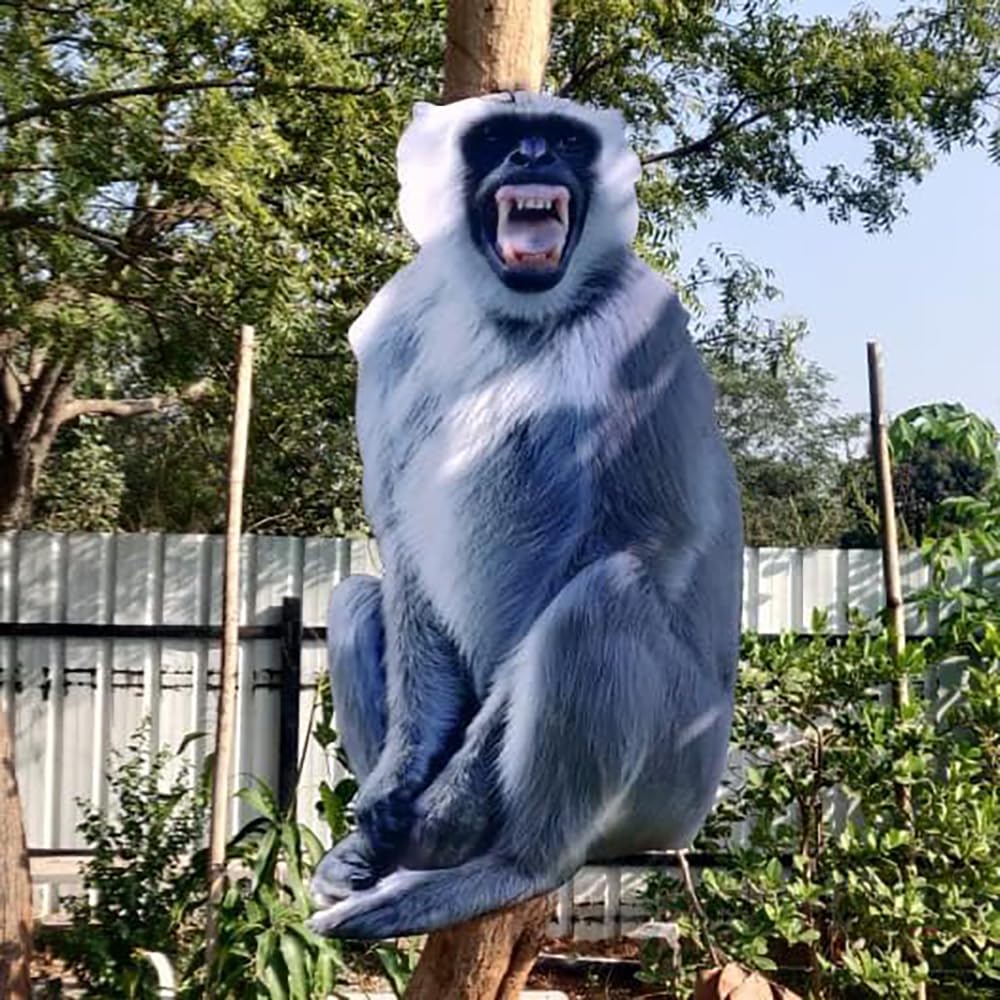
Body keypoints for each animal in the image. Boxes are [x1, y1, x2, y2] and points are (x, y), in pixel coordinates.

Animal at [308, 91, 743, 940]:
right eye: (502, 137)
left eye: (564, 140)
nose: (534, 154)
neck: (518, 317)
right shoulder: (397, 328)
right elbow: (401, 546)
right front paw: (394, 789)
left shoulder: (644, 326)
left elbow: (657, 539)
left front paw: (447, 808)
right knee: (356, 599)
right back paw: (376, 854)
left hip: (675, 774)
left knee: (603, 598)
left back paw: (510, 864)